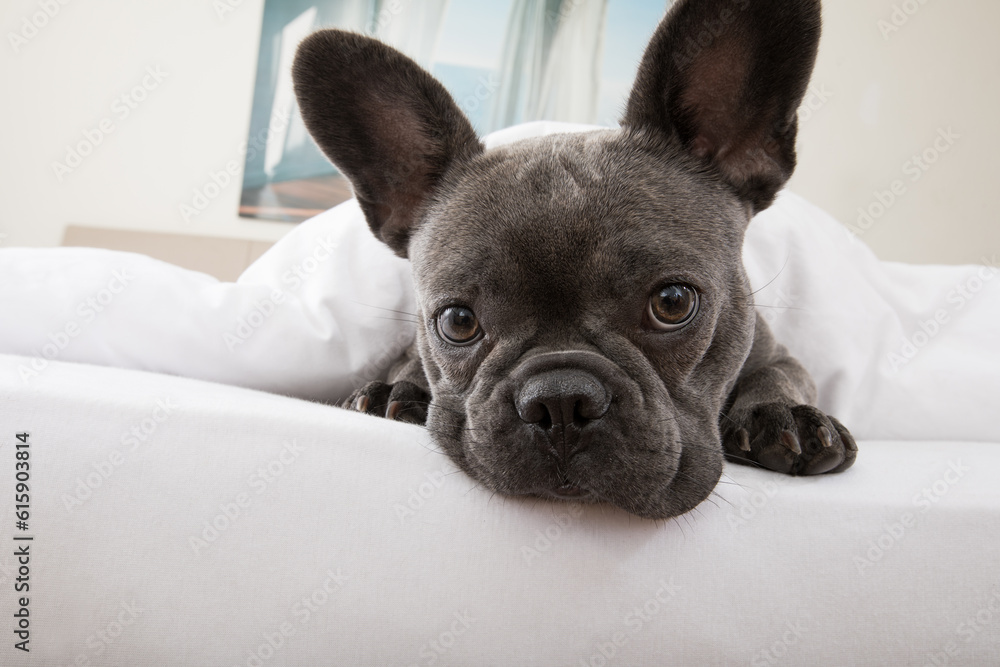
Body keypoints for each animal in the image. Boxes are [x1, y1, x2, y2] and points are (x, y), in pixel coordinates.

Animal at [292, 0, 860, 520]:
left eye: (673, 302)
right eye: (457, 322)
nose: (559, 400)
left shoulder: (777, 351)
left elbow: (781, 374)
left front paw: (785, 416)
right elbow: (408, 358)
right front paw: (400, 387)